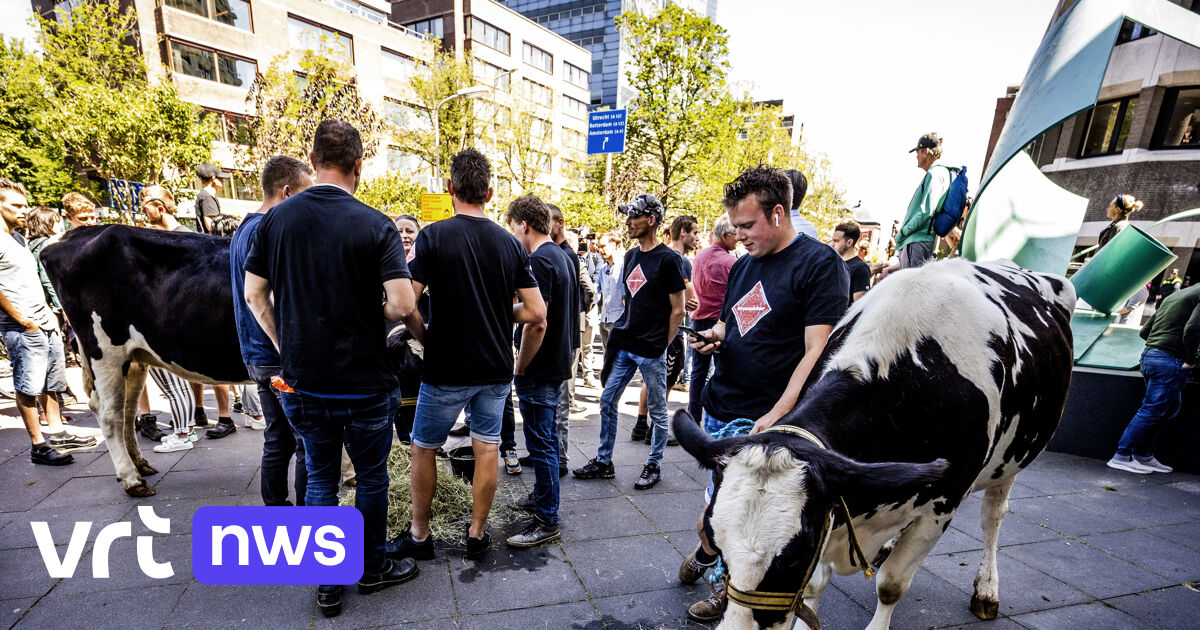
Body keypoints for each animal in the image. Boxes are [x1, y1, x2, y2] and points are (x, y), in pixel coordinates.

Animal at [41, 224, 248, 496]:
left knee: (127, 411)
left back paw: (140, 465)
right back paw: (132, 480)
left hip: (133, 359)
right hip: (105, 351)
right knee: (109, 413)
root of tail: (73, 233)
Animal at [676, 258, 1080, 624]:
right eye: (717, 545)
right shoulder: (836, 504)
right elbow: (815, 586)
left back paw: (987, 590)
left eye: (793, 556)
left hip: (1012, 461)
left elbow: (891, 586)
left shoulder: (941, 504)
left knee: (992, 517)